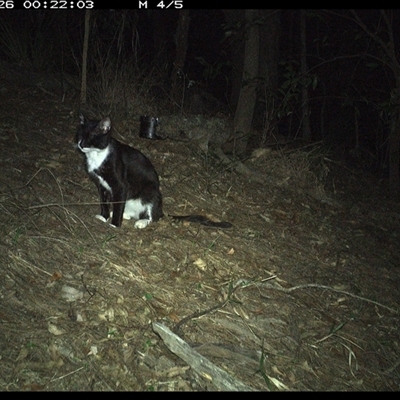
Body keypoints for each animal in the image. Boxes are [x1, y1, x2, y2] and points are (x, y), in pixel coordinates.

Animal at [76, 114, 231, 230]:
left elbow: (118, 202)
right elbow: (104, 201)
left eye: (92, 136)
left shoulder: (120, 185)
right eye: (80, 135)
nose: (80, 144)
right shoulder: (101, 185)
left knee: (152, 217)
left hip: (151, 193)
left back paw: (141, 222)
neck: (97, 156)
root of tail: (161, 211)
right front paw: (104, 217)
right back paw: (125, 214)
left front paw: (114, 224)